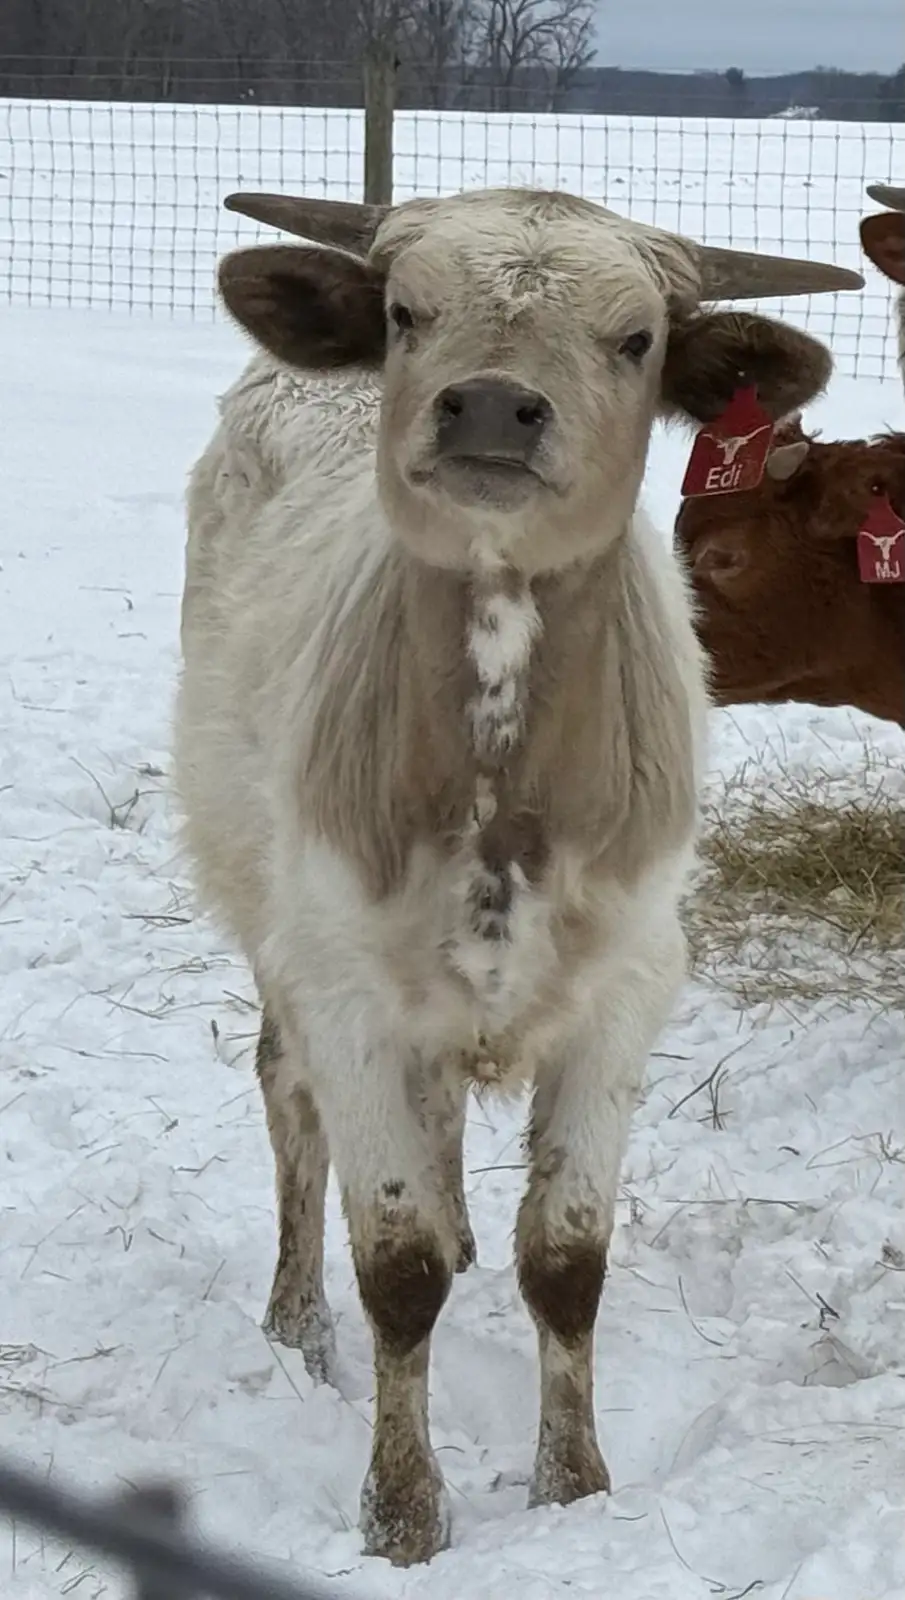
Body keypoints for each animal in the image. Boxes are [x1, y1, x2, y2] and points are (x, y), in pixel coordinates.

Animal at [174, 186, 861, 1565]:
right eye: (402, 310)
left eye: (636, 337)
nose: (490, 407)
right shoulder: (346, 986)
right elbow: (393, 1268)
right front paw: (400, 1510)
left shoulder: (622, 993)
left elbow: (565, 1257)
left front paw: (574, 1483)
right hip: (273, 922)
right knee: (291, 1107)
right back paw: (296, 1321)